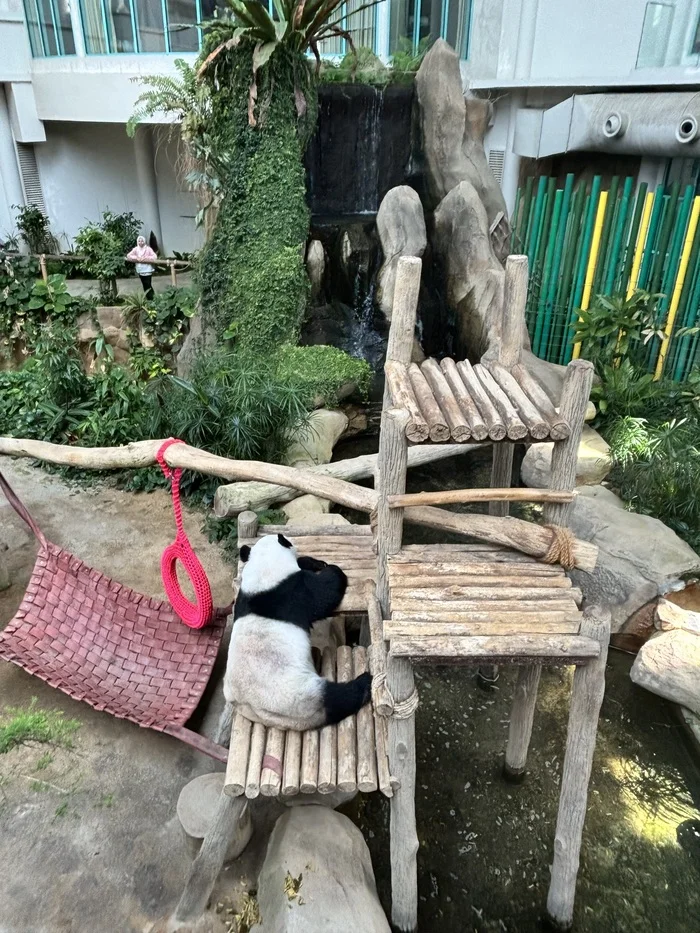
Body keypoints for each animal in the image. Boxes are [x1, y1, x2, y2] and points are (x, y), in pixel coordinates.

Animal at [223, 533, 372, 732]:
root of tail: (251, 707)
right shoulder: (295, 591)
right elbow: (325, 592)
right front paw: (332, 569)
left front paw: (316, 563)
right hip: (298, 697)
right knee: (334, 699)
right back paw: (363, 684)